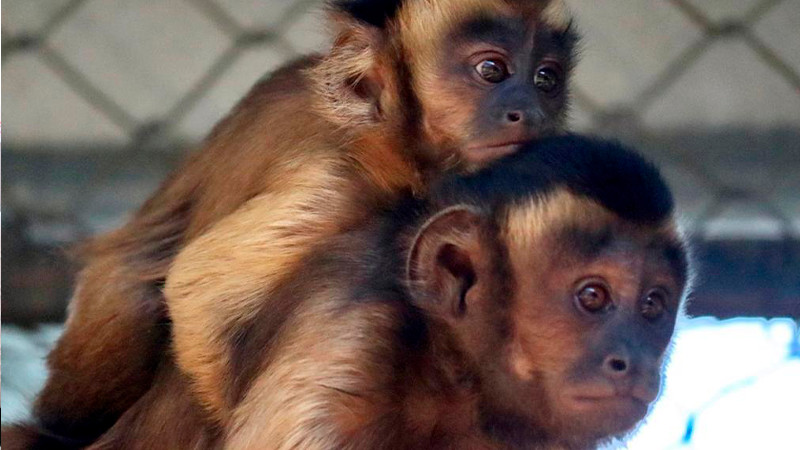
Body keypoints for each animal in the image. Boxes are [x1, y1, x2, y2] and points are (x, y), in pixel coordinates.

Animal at [15, 0, 580, 444]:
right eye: (492, 71)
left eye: (545, 79)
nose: (529, 111)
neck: (384, 142)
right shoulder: (334, 177)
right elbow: (199, 296)